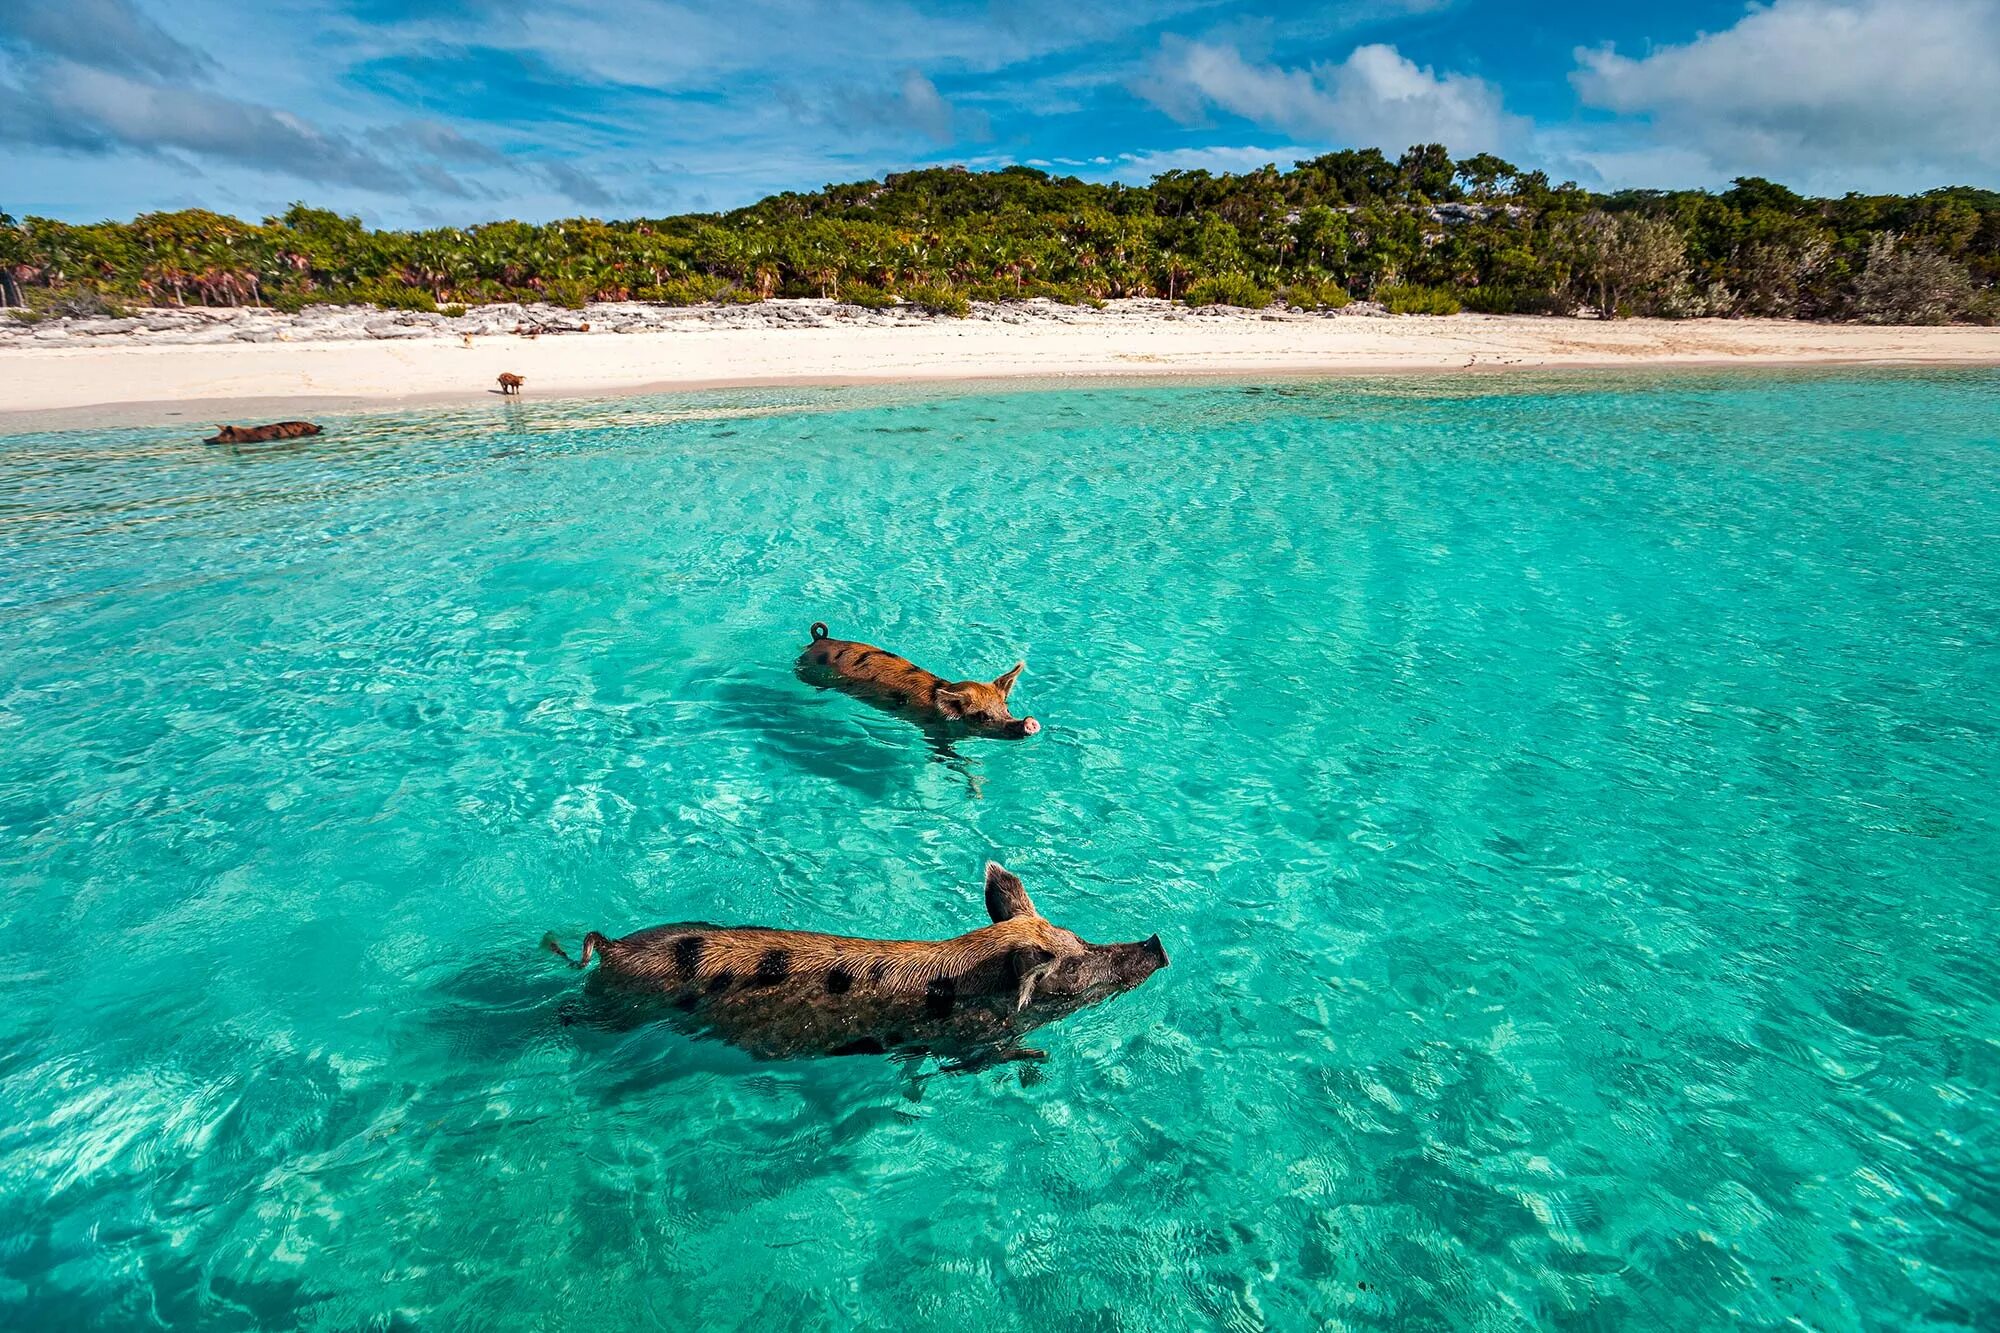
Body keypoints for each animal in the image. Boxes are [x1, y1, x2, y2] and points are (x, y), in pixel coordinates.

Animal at [548, 860, 1168, 1072]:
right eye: (1074, 964)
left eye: (1079, 937)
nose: (1158, 943)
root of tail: (611, 946)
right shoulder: (965, 1039)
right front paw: (1038, 1058)